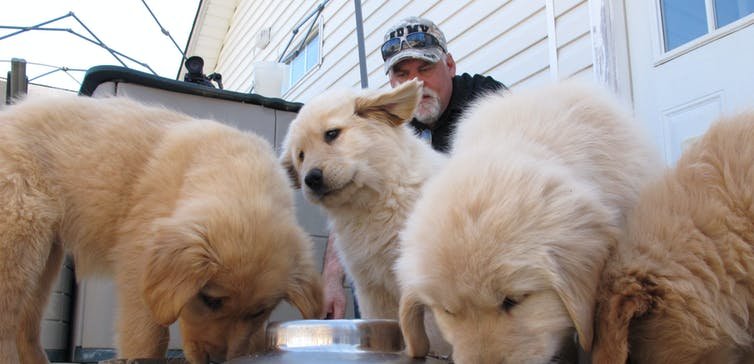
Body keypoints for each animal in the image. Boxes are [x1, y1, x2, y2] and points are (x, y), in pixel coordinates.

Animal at [0, 95, 320, 362]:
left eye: (258, 312)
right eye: (210, 300)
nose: (216, 360)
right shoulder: (139, 267)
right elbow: (149, 335)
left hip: (43, 260)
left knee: (25, 323)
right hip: (18, 240)